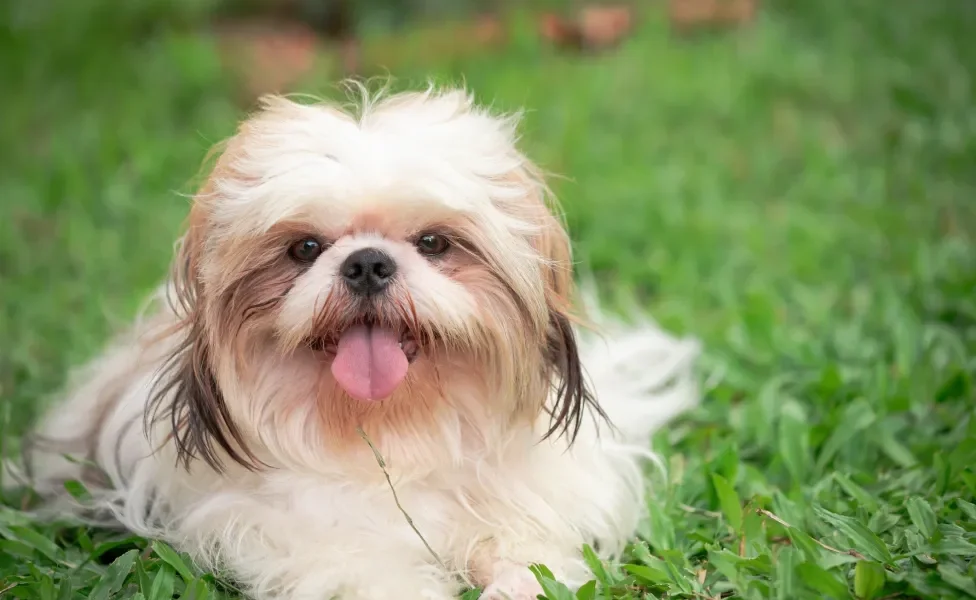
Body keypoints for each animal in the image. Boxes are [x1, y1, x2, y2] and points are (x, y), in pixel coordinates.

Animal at [17, 85, 700, 600]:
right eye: (304, 248)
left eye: (433, 242)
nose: (368, 262)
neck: (394, 426)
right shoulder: (291, 530)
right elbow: (359, 565)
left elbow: (520, 545)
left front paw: (521, 581)